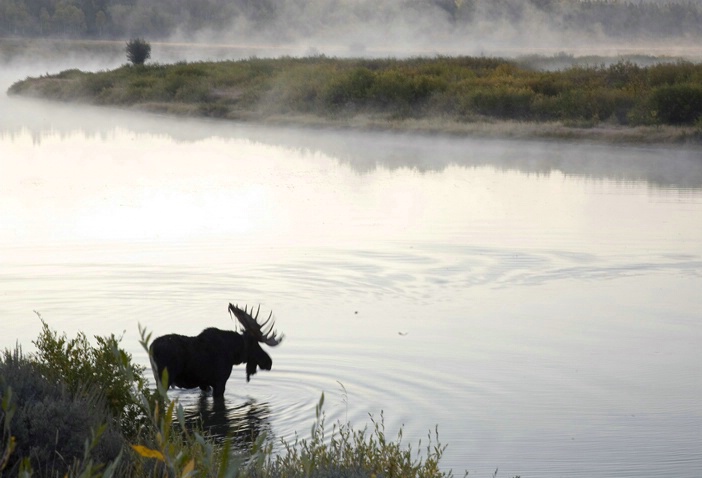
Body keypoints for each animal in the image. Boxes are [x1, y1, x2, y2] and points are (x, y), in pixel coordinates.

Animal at [150, 304, 284, 398]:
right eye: (255, 344)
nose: (269, 362)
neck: (233, 354)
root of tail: (151, 348)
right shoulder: (220, 381)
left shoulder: (204, 384)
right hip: (165, 378)